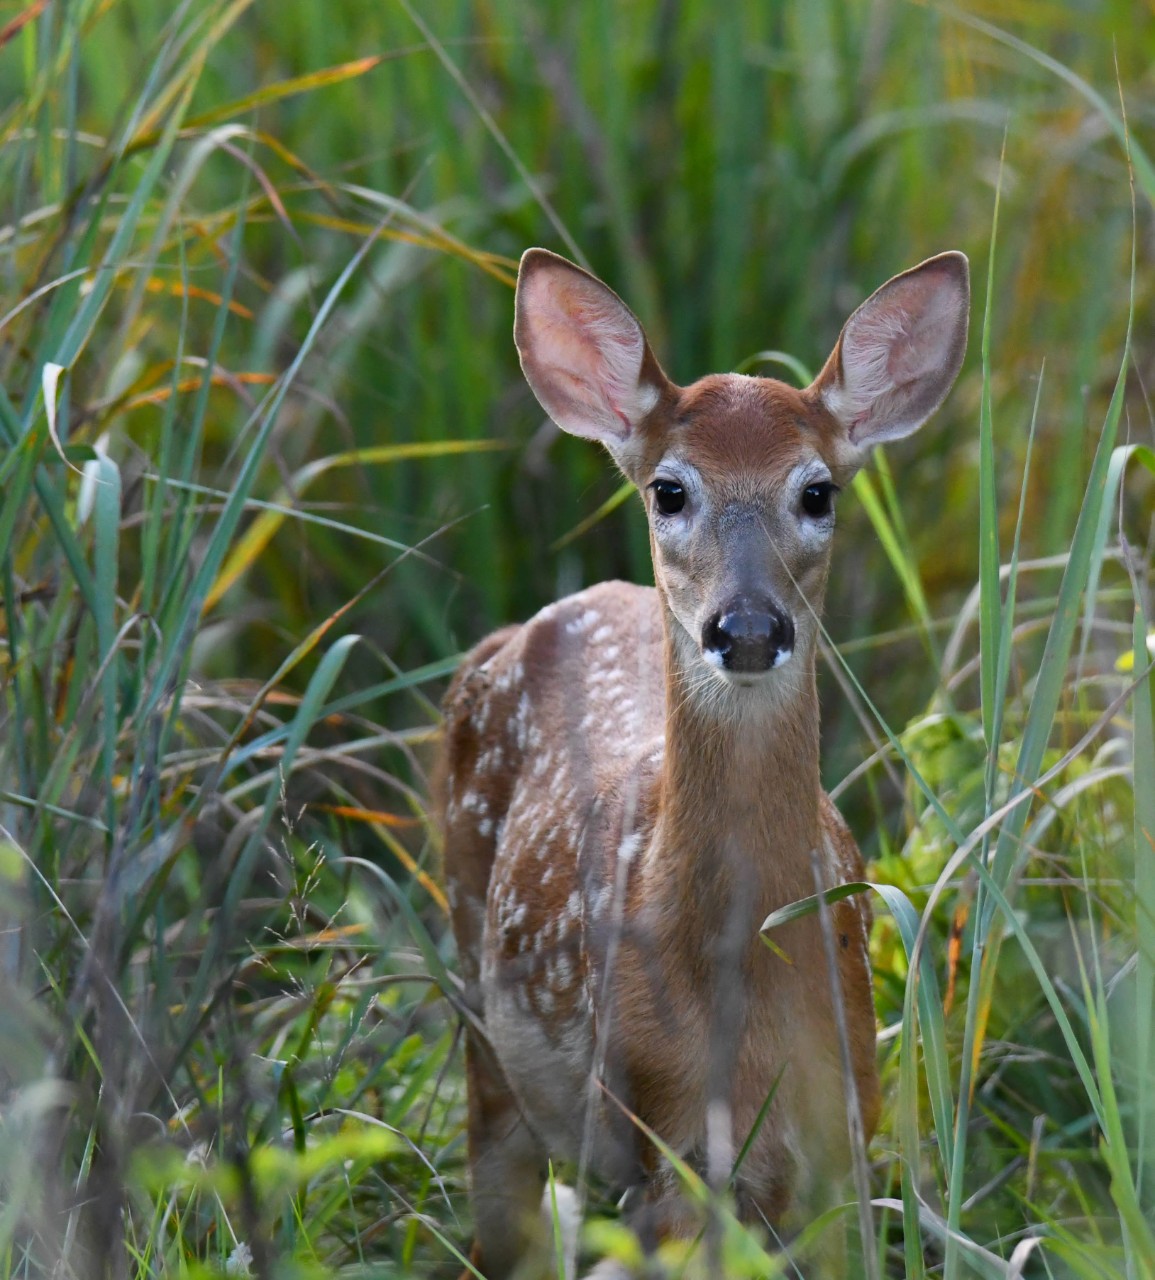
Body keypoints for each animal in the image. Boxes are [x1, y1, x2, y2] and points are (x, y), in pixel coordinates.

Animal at [438, 247, 969, 1278]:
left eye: (818, 491)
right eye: (669, 490)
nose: (749, 627)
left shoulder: (850, 1133)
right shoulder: (670, 1141)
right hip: (476, 987)